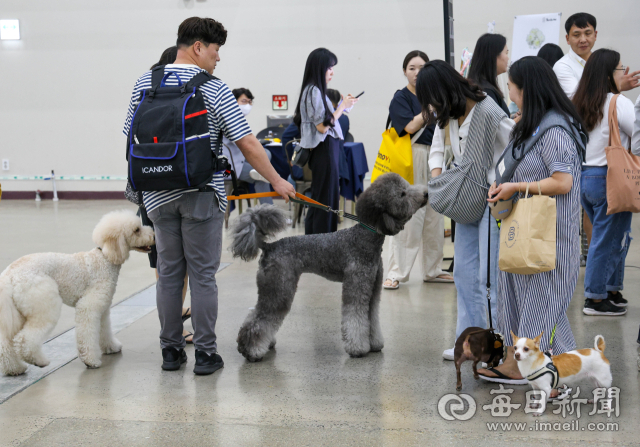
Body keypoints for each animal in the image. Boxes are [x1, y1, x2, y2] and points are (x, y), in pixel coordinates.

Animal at [0, 210, 154, 374]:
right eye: (136, 230)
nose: (153, 235)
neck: (105, 258)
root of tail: (9, 274)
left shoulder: (103, 309)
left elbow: (104, 329)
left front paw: (111, 347)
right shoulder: (89, 307)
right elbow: (87, 335)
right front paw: (91, 360)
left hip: (16, 312)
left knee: (6, 343)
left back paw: (15, 368)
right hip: (43, 306)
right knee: (25, 340)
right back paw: (40, 361)